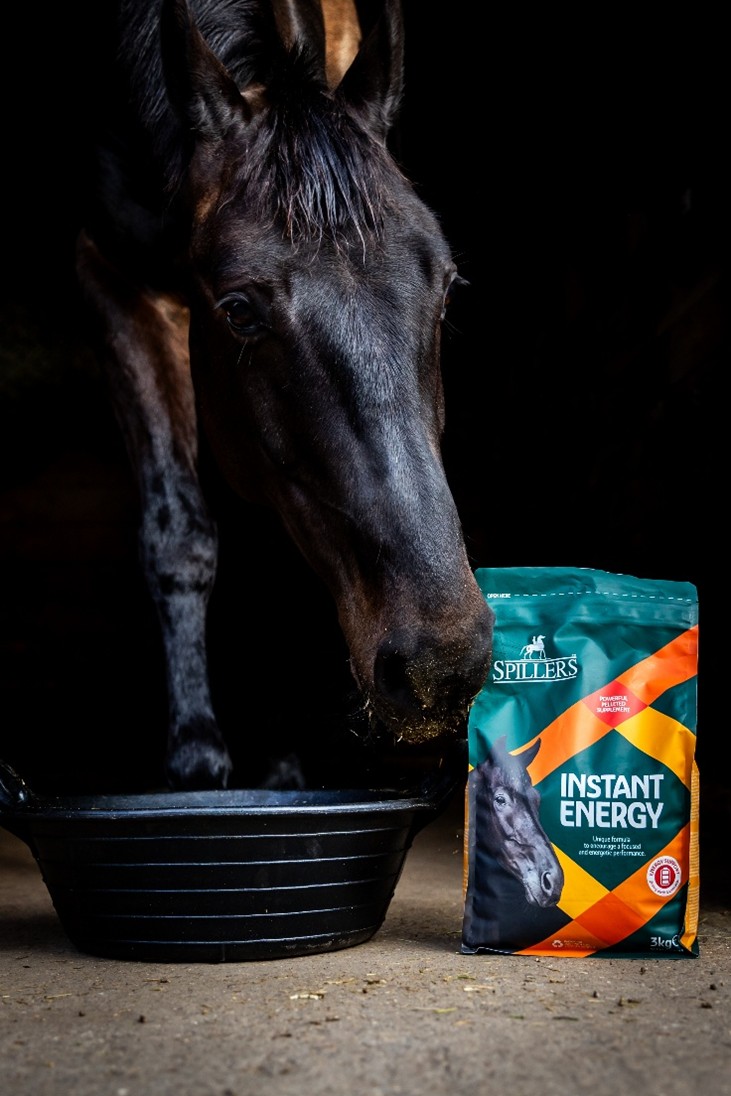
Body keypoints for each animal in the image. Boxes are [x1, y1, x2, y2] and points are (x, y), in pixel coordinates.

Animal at [75, 0, 494, 790]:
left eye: (450, 288)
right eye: (238, 310)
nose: (439, 669)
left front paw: (280, 761)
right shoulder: (111, 278)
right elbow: (178, 533)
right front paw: (196, 753)